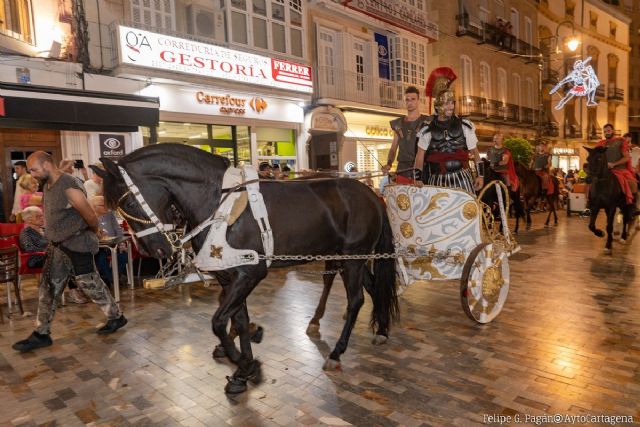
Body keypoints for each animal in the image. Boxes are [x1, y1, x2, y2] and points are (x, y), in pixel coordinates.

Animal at [97, 144, 398, 394]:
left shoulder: (250, 273)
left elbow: (219, 322)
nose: (155, 251)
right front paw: (242, 370)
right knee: (374, 289)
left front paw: (245, 364)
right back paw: (382, 330)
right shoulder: (229, 277)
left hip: (353, 258)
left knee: (355, 300)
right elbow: (239, 320)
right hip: (350, 258)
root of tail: (371, 195)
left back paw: (336, 353)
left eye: (129, 203)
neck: (219, 203)